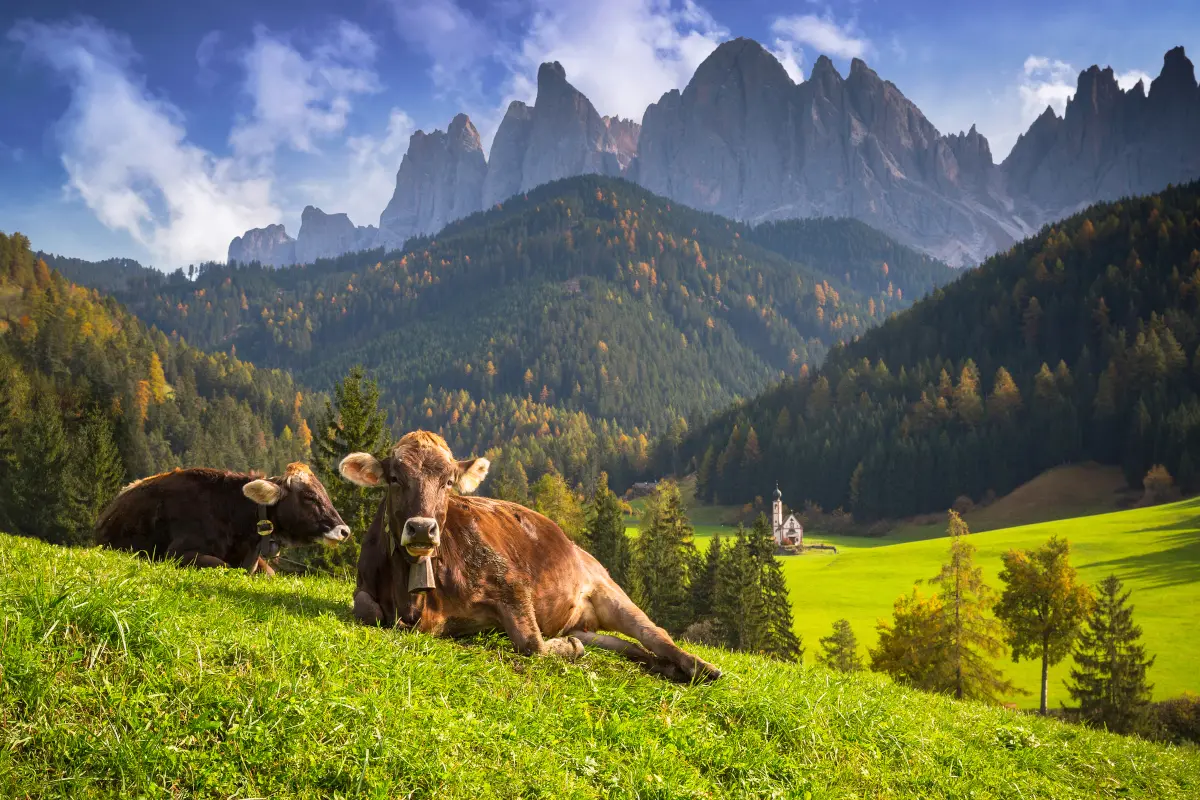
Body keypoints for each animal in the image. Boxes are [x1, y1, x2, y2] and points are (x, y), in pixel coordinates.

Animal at [339, 431, 721, 683]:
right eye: (394, 478)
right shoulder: (365, 585)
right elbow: (368, 610)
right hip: (583, 622)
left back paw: (699, 668)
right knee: (628, 647)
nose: (421, 529)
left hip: (608, 590)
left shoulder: (511, 584)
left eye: (448, 481)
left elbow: (532, 644)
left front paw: (566, 650)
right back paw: (661, 666)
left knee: (654, 633)